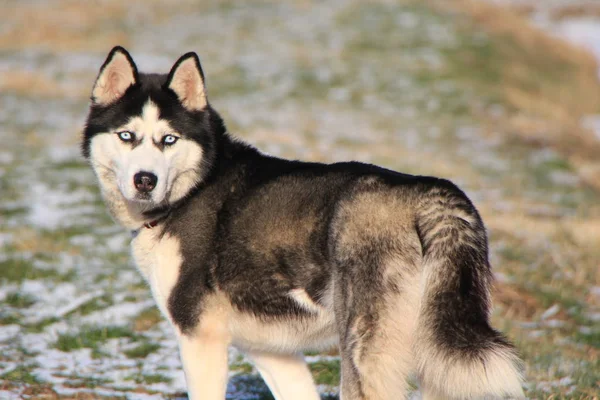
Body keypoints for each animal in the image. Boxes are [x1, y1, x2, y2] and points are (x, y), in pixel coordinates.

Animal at [82, 47, 524, 400]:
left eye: (168, 140)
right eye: (126, 136)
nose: (145, 180)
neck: (192, 189)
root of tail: (426, 191)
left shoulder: (199, 338)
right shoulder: (271, 352)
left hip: (364, 350)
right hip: (435, 354)